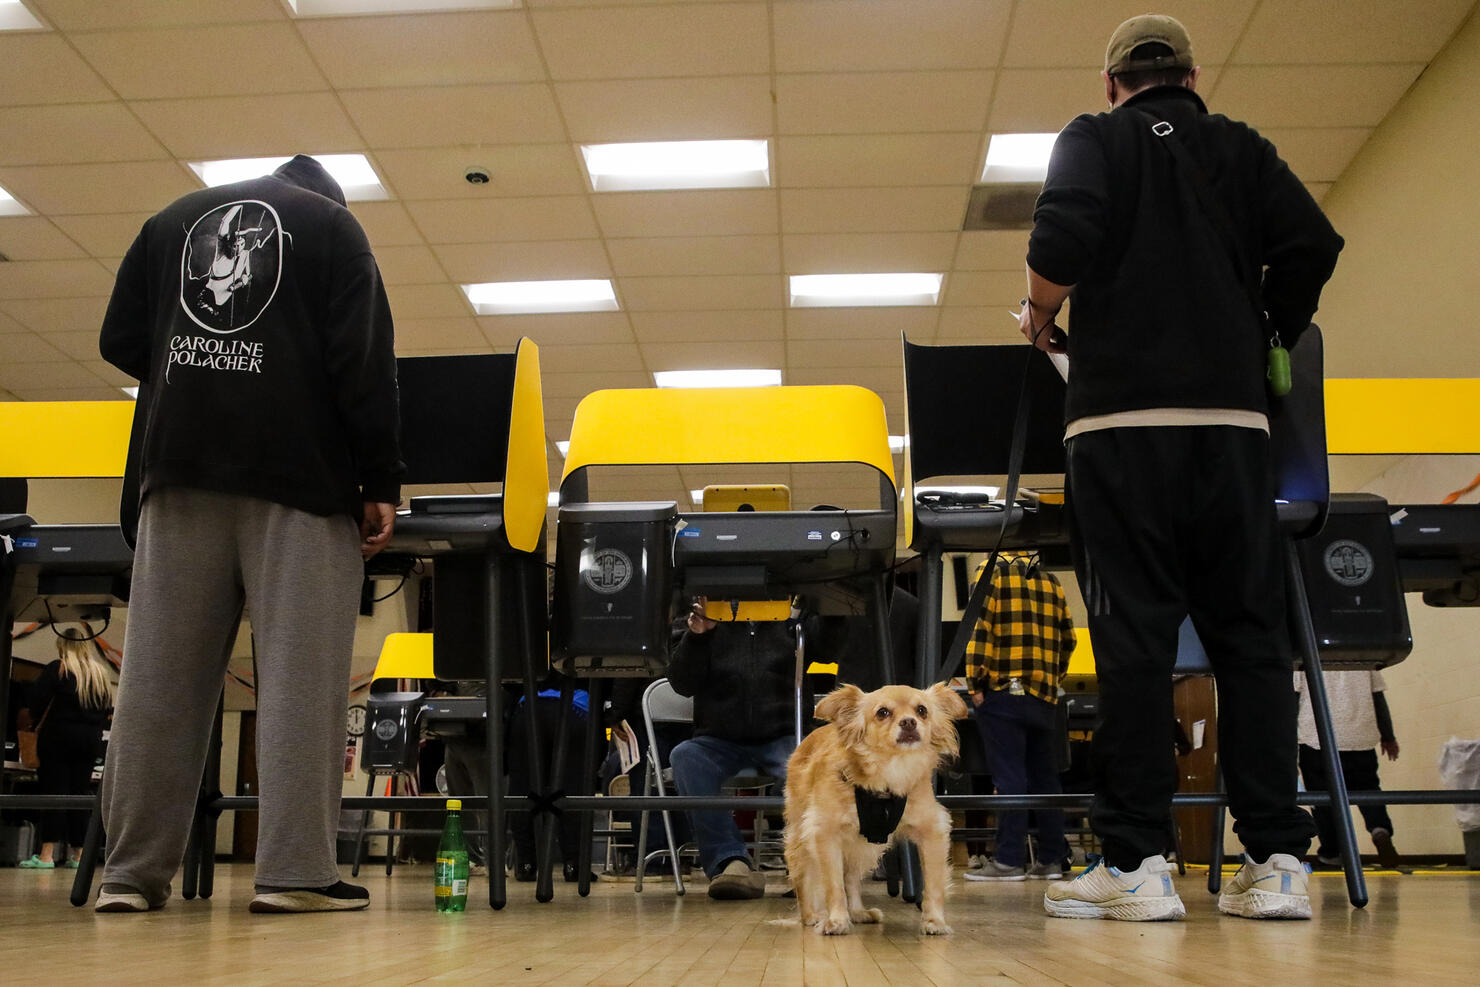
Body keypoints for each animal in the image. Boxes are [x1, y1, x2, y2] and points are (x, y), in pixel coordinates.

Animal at [787, 683, 970, 941]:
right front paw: (836, 921)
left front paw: (934, 921)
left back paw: (857, 912)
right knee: (805, 878)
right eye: (882, 713)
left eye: (922, 710)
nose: (909, 722)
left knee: (851, 878)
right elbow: (833, 885)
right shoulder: (825, 835)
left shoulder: (932, 833)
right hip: (802, 842)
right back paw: (811, 915)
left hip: (861, 847)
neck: (889, 771)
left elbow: (933, 884)